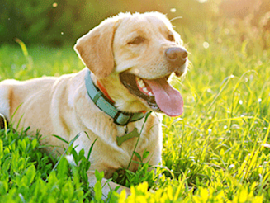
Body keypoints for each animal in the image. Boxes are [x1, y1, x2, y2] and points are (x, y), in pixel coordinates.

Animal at [0, 11, 188, 198]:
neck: (124, 121)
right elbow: (129, 191)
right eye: (136, 40)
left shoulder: (154, 168)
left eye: (170, 36)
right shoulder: (87, 172)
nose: (180, 54)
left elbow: (170, 186)